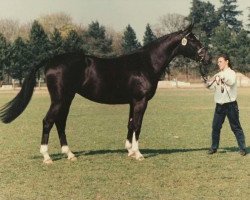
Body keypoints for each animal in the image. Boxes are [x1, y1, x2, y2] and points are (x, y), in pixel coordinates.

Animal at [0, 23, 211, 164]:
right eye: (193, 39)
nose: (207, 57)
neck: (146, 63)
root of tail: (51, 60)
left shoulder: (132, 102)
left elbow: (130, 124)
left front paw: (129, 151)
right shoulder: (141, 101)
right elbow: (138, 125)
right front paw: (138, 154)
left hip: (67, 98)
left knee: (60, 122)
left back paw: (70, 154)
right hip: (59, 99)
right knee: (48, 121)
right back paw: (47, 157)